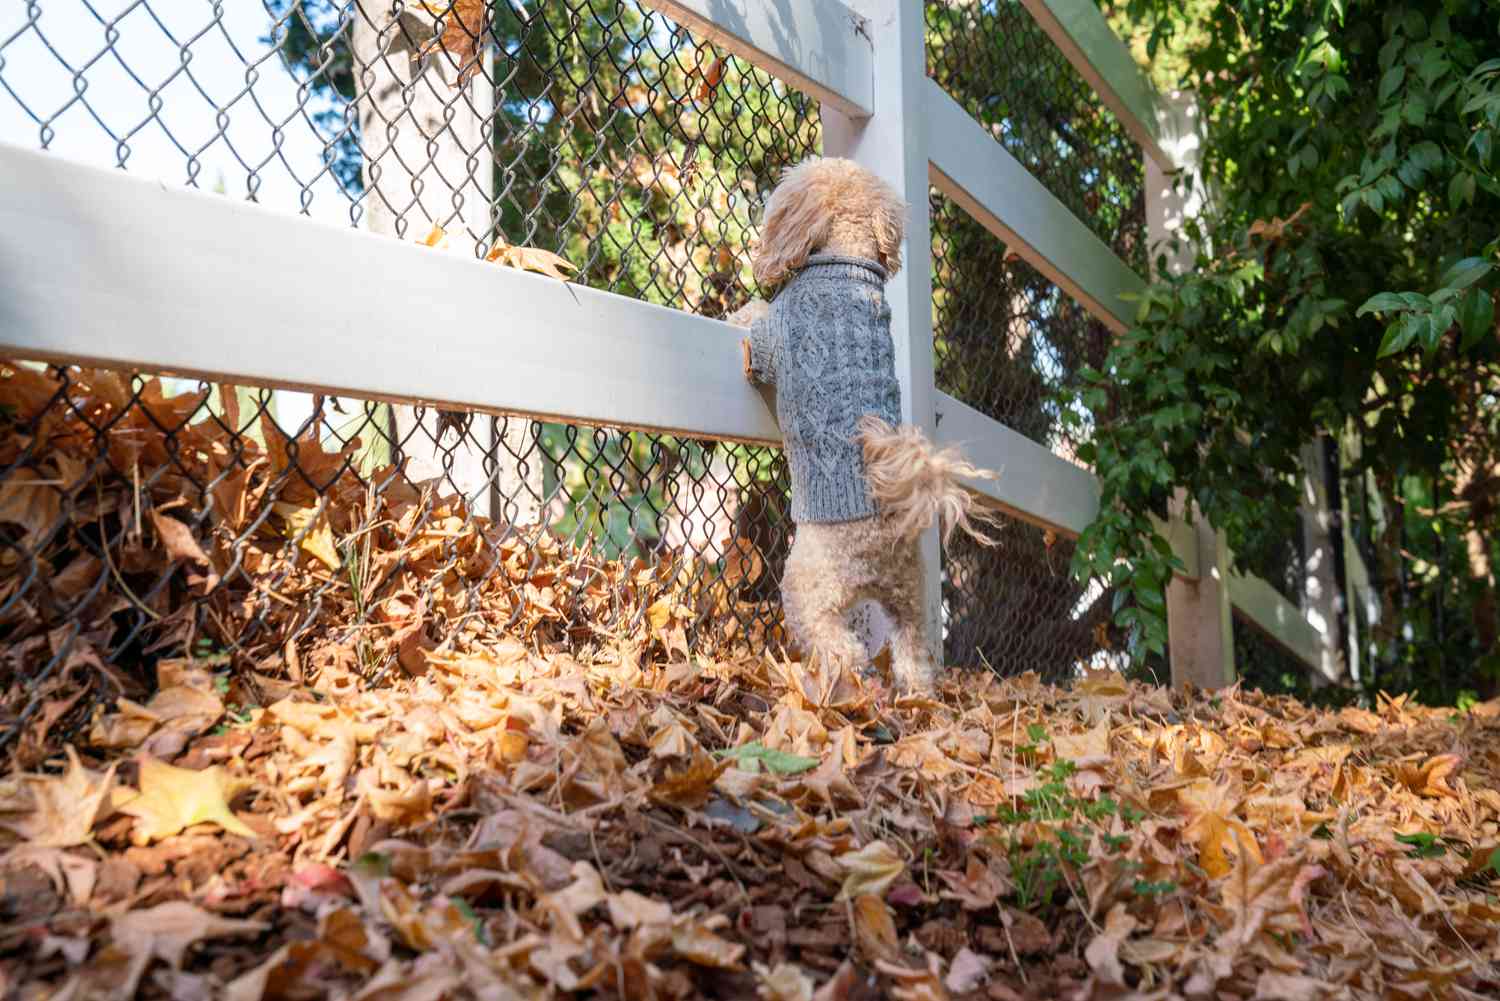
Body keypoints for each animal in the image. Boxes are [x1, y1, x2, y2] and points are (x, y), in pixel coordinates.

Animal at [726, 156, 996, 693]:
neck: (846, 260)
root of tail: (879, 543)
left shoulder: (770, 340)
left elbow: (756, 321)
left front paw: (738, 312)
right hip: (911, 597)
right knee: (913, 654)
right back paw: (915, 697)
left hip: (807, 588)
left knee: (842, 648)